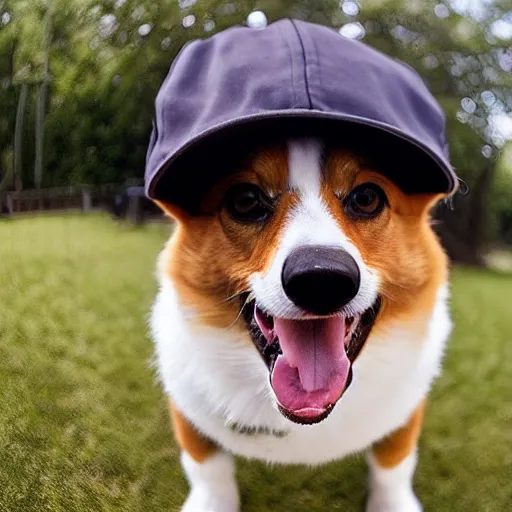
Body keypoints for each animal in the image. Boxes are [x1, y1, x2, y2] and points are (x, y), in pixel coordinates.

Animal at [146, 18, 458, 510]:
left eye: (367, 198)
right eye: (245, 200)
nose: (321, 280)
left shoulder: (407, 413)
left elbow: (394, 463)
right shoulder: (188, 411)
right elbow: (206, 464)